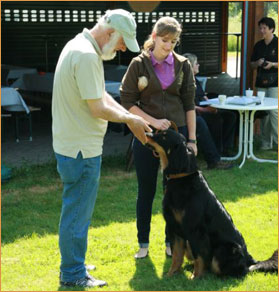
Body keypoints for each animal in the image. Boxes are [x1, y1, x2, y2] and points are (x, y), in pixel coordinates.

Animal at [147, 129, 278, 278]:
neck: (180, 178)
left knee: (240, 269)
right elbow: (176, 255)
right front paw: (171, 274)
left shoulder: (196, 230)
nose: (147, 134)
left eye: (164, 135)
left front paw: (196, 276)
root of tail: (249, 258)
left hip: (224, 250)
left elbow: (199, 256)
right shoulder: (175, 228)